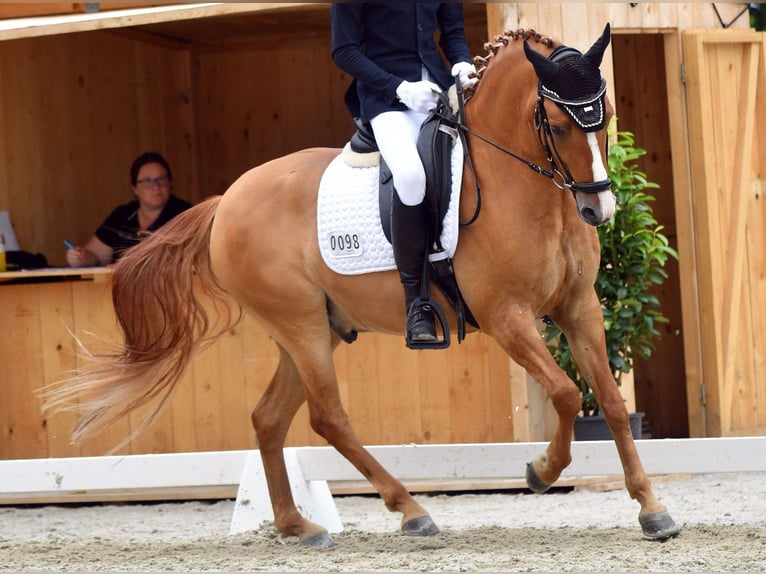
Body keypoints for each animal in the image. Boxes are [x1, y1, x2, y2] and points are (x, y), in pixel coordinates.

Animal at [43, 25, 680, 548]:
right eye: (557, 124)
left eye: (605, 114)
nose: (598, 209)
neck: (522, 187)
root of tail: (227, 200)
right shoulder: (507, 317)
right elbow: (570, 394)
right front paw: (540, 472)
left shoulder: (579, 307)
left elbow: (612, 404)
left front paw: (652, 509)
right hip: (301, 325)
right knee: (328, 418)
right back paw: (411, 511)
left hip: (312, 329)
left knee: (269, 418)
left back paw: (298, 526)